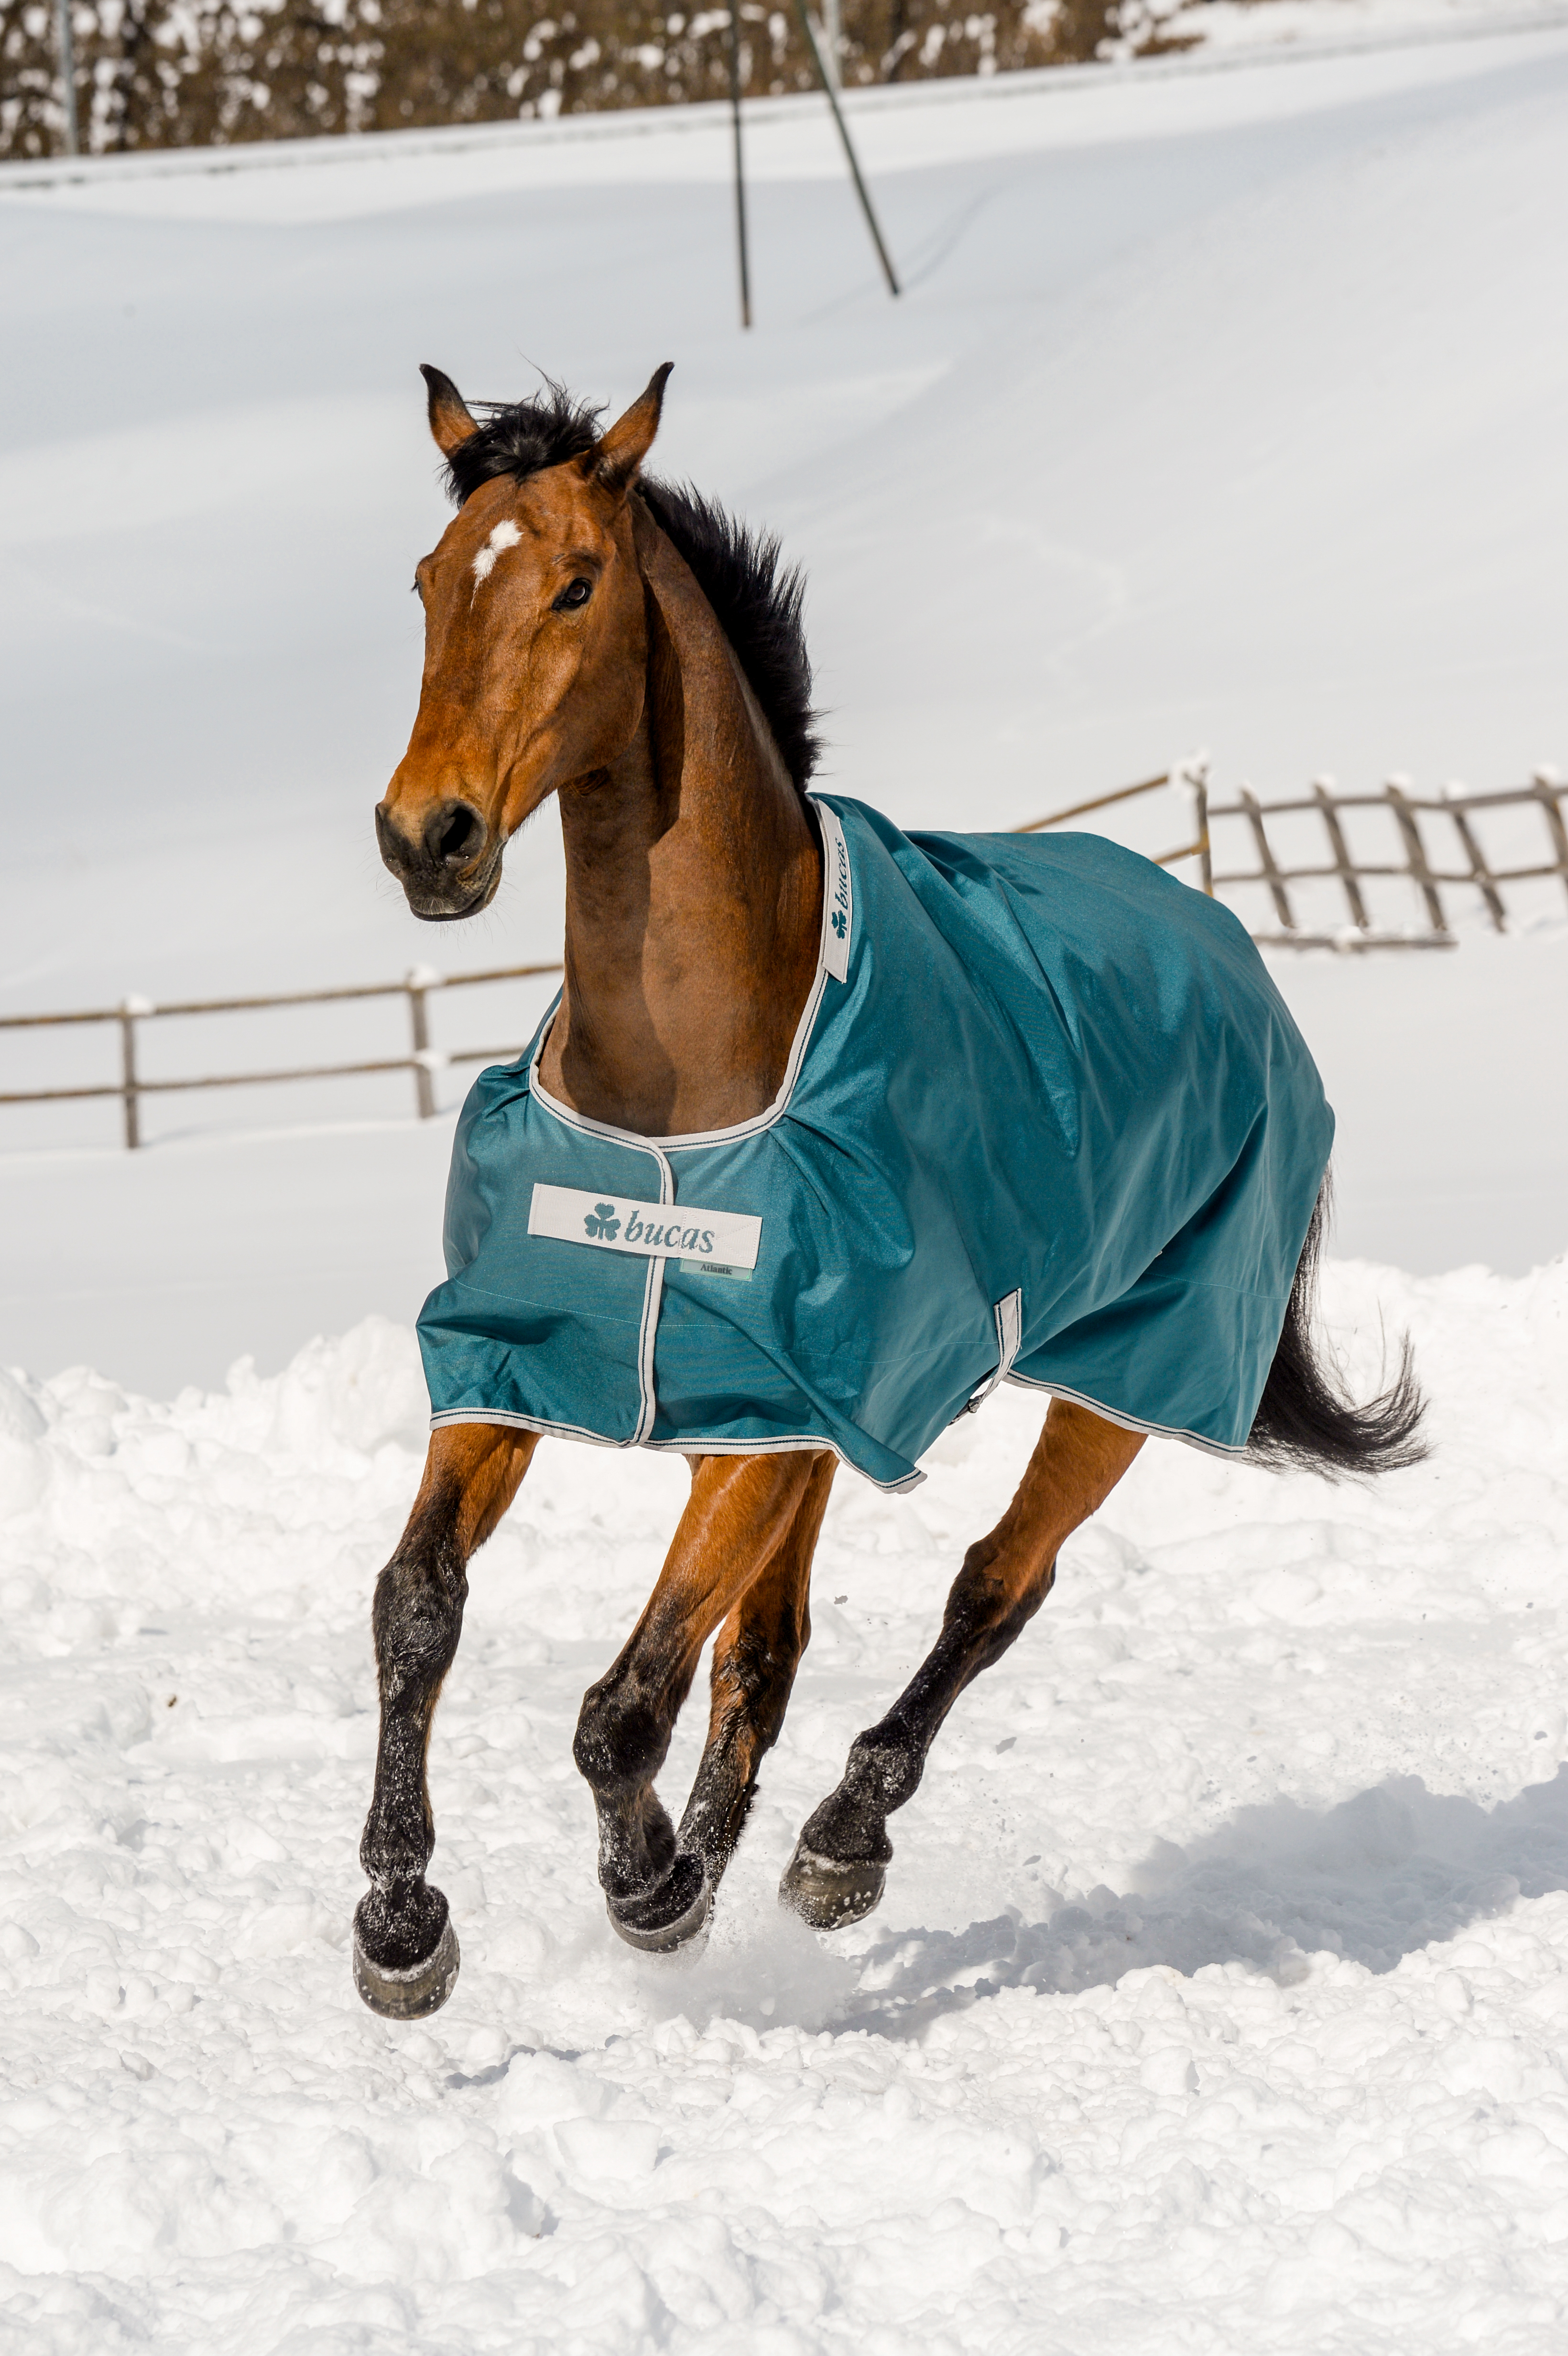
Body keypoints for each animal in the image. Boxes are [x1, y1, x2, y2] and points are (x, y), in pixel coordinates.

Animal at [353, 363, 1426, 2020]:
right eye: (426, 584)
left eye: (577, 584)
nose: (431, 838)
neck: (686, 1092)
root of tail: (1223, 940)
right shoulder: (537, 1373)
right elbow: (422, 1607)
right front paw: (405, 1923)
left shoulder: (789, 1415)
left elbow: (623, 1703)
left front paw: (644, 1887)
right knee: (774, 1648)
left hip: (1126, 1377)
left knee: (991, 1587)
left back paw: (837, 1843)